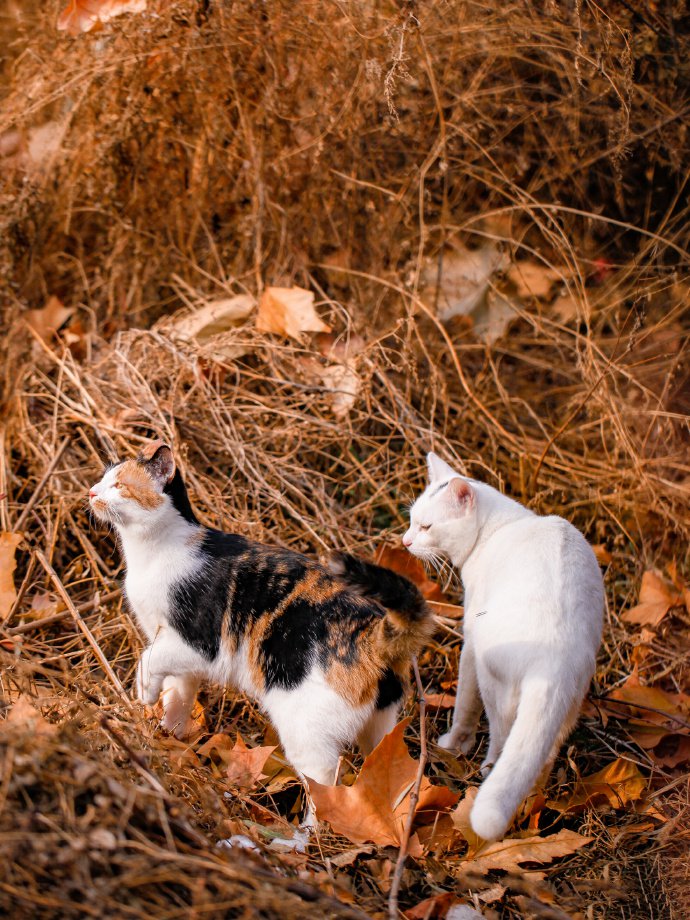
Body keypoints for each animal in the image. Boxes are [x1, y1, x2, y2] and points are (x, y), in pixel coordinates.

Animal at [86, 442, 430, 816]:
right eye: (103, 478)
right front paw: (167, 735)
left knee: (324, 782)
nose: (91, 492)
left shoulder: (196, 643)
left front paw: (144, 693)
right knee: (387, 771)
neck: (154, 552)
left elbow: (148, 660)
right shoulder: (179, 656)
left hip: (306, 730)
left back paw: (306, 830)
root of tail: (373, 633)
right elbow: (179, 694)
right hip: (381, 728)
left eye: (119, 484)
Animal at [404, 452, 600, 840]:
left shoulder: (469, 641)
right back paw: (534, 798)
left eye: (426, 527)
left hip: (493, 678)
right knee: (542, 754)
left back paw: (485, 769)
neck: (499, 527)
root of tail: (556, 658)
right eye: (412, 521)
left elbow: (464, 704)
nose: (404, 542)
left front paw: (453, 744)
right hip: (571, 699)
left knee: (500, 735)